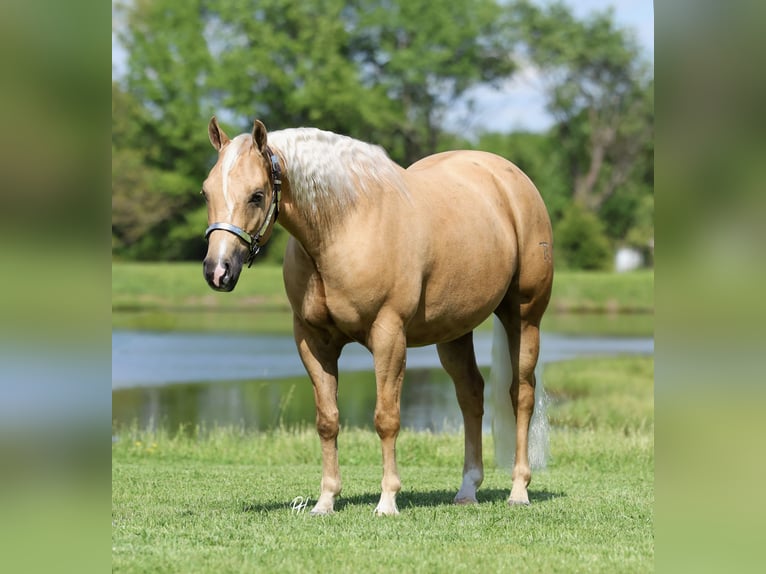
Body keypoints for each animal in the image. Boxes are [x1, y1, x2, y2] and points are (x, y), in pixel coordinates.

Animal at [201, 117, 553, 515]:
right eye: (206, 192)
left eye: (257, 195)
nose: (217, 271)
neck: (346, 225)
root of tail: (512, 180)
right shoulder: (312, 341)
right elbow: (327, 420)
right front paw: (325, 500)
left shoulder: (388, 335)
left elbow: (386, 419)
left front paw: (387, 500)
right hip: (454, 332)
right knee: (470, 395)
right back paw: (467, 489)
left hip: (524, 317)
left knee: (521, 395)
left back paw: (519, 489)